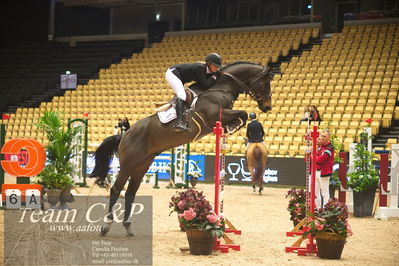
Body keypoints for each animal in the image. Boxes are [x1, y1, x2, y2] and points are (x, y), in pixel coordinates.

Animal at [92, 61, 274, 236]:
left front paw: (232, 126)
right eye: (265, 82)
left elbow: (243, 114)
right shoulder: (215, 115)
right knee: (116, 190)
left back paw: (128, 228)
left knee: (131, 192)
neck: (221, 86)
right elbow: (243, 113)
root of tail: (125, 135)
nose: (268, 107)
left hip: (142, 166)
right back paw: (106, 227)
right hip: (128, 165)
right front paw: (233, 126)